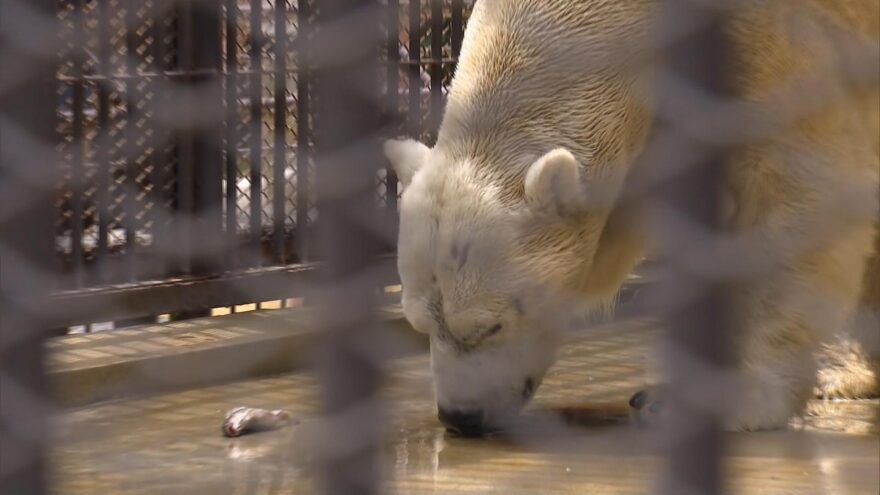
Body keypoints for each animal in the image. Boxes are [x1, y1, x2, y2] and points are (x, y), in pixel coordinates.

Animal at [382, 0, 876, 434]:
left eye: (489, 327)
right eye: (420, 325)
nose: (459, 417)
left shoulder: (778, 46)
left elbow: (797, 198)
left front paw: (735, 399)